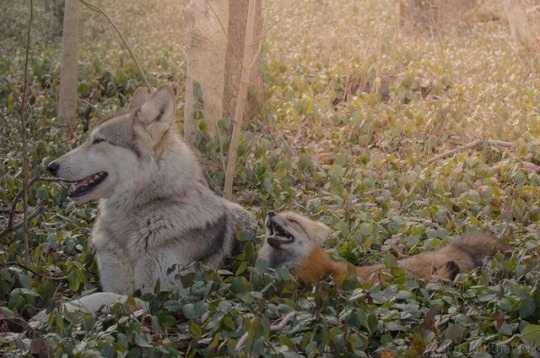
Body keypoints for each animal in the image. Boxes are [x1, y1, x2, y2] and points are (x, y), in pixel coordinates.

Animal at [47, 84, 256, 308]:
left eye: (98, 141)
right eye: (89, 139)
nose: (51, 166)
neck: (148, 208)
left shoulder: (160, 299)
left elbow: (101, 297)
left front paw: (59, 309)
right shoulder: (118, 284)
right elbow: (102, 295)